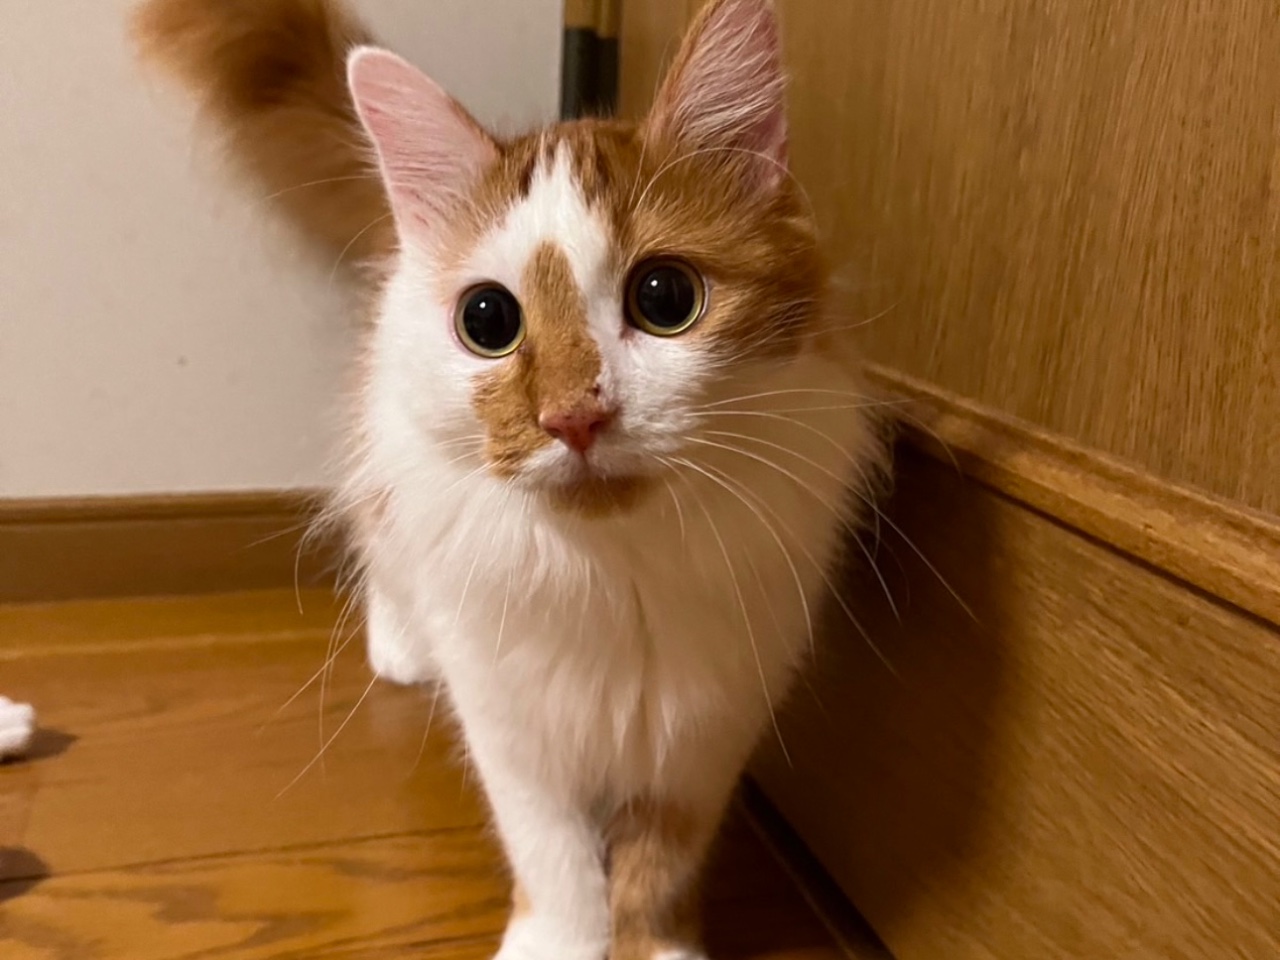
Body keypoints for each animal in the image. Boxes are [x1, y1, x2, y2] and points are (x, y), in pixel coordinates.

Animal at [133, 1, 887, 958]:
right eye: (488, 320)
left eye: (666, 299)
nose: (573, 418)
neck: (616, 580)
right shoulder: (514, 731)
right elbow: (555, 862)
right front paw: (560, 942)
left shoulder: (701, 739)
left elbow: (655, 874)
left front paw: (654, 945)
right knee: (381, 552)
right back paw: (400, 653)